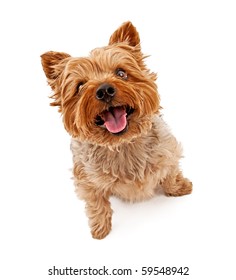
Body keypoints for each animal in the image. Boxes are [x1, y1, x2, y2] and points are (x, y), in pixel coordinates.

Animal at [40, 21, 192, 238]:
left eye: (121, 73)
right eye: (80, 86)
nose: (104, 90)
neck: (123, 145)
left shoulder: (169, 152)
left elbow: (171, 173)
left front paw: (180, 187)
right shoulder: (85, 178)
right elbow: (96, 202)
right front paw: (100, 228)